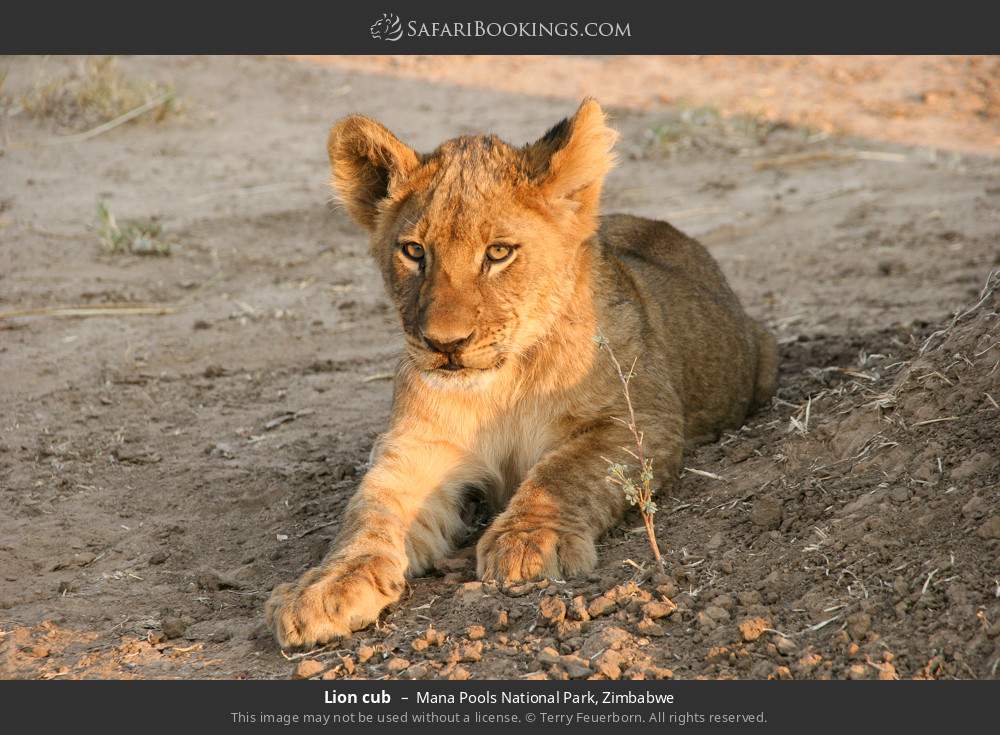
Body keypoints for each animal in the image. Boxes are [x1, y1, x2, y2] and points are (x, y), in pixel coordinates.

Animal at [266, 99, 778, 648]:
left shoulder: (641, 422)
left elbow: (564, 472)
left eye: (498, 253)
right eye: (414, 252)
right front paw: (325, 587)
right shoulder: (417, 448)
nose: (445, 345)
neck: (502, 385)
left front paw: (531, 541)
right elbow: (370, 512)